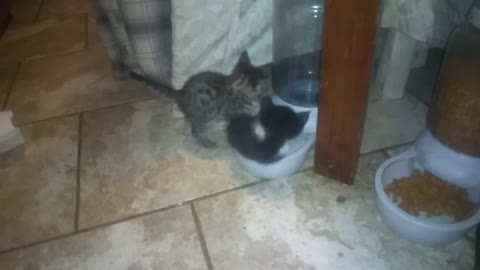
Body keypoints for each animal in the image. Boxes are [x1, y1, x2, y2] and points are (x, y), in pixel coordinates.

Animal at [131, 50, 270, 148]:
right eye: (263, 89)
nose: (265, 94)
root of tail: (181, 92)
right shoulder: (235, 115)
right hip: (202, 114)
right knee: (195, 131)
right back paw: (207, 141)